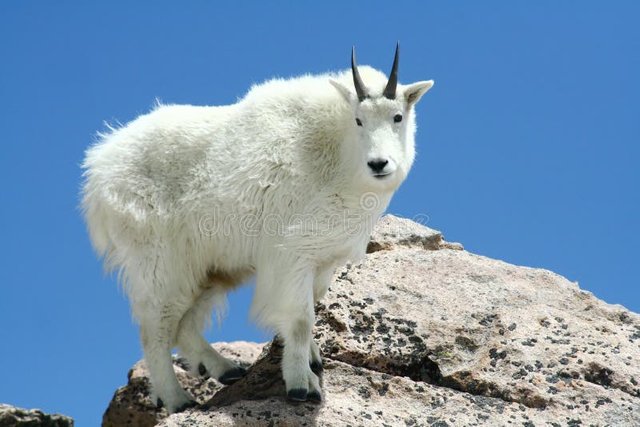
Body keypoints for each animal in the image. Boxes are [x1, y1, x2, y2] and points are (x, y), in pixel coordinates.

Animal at [82, 45, 436, 412]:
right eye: (358, 120)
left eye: (398, 117)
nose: (379, 164)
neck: (338, 156)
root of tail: (99, 169)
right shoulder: (292, 253)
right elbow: (299, 319)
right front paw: (302, 386)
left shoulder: (323, 258)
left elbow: (311, 308)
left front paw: (311, 358)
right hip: (161, 260)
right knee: (155, 326)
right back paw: (177, 398)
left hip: (212, 265)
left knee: (185, 323)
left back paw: (224, 369)